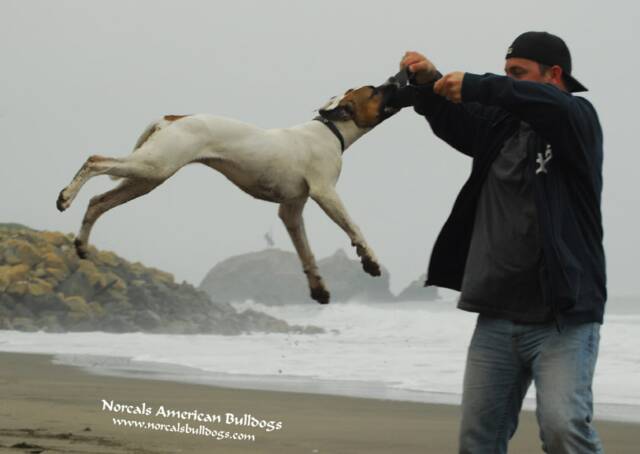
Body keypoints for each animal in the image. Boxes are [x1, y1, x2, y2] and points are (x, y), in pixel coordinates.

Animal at [58, 82, 400, 306]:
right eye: (374, 90)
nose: (396, 81)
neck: (330, 129)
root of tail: (174, 117)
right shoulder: (325, 193)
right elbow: (355, 228)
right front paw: (369, 260)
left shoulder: (291, 210)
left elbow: (306, 252)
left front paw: (317, 286)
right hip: (153, 166)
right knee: (95, 160)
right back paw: (65, 196)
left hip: (146, 179)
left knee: (97, 202)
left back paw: (82, 243)